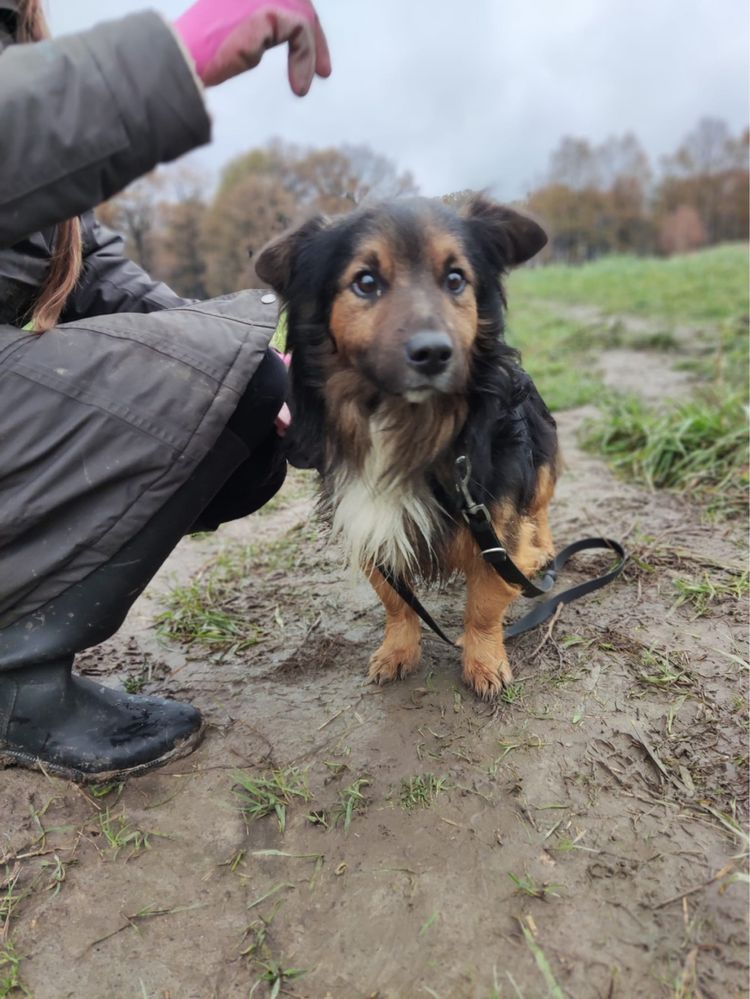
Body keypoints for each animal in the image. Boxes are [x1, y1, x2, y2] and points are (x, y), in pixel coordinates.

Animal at [258, 193, 560, 696]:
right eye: (365, 282)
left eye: (456, 279)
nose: (434, 353)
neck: (408, 425)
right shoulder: (370, 521)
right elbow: (395, 601)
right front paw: (399, 651)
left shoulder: (493, 524)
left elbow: (485, 604)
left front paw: (482, 661)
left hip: (538, 468)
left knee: (538, 511)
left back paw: (542, 553)